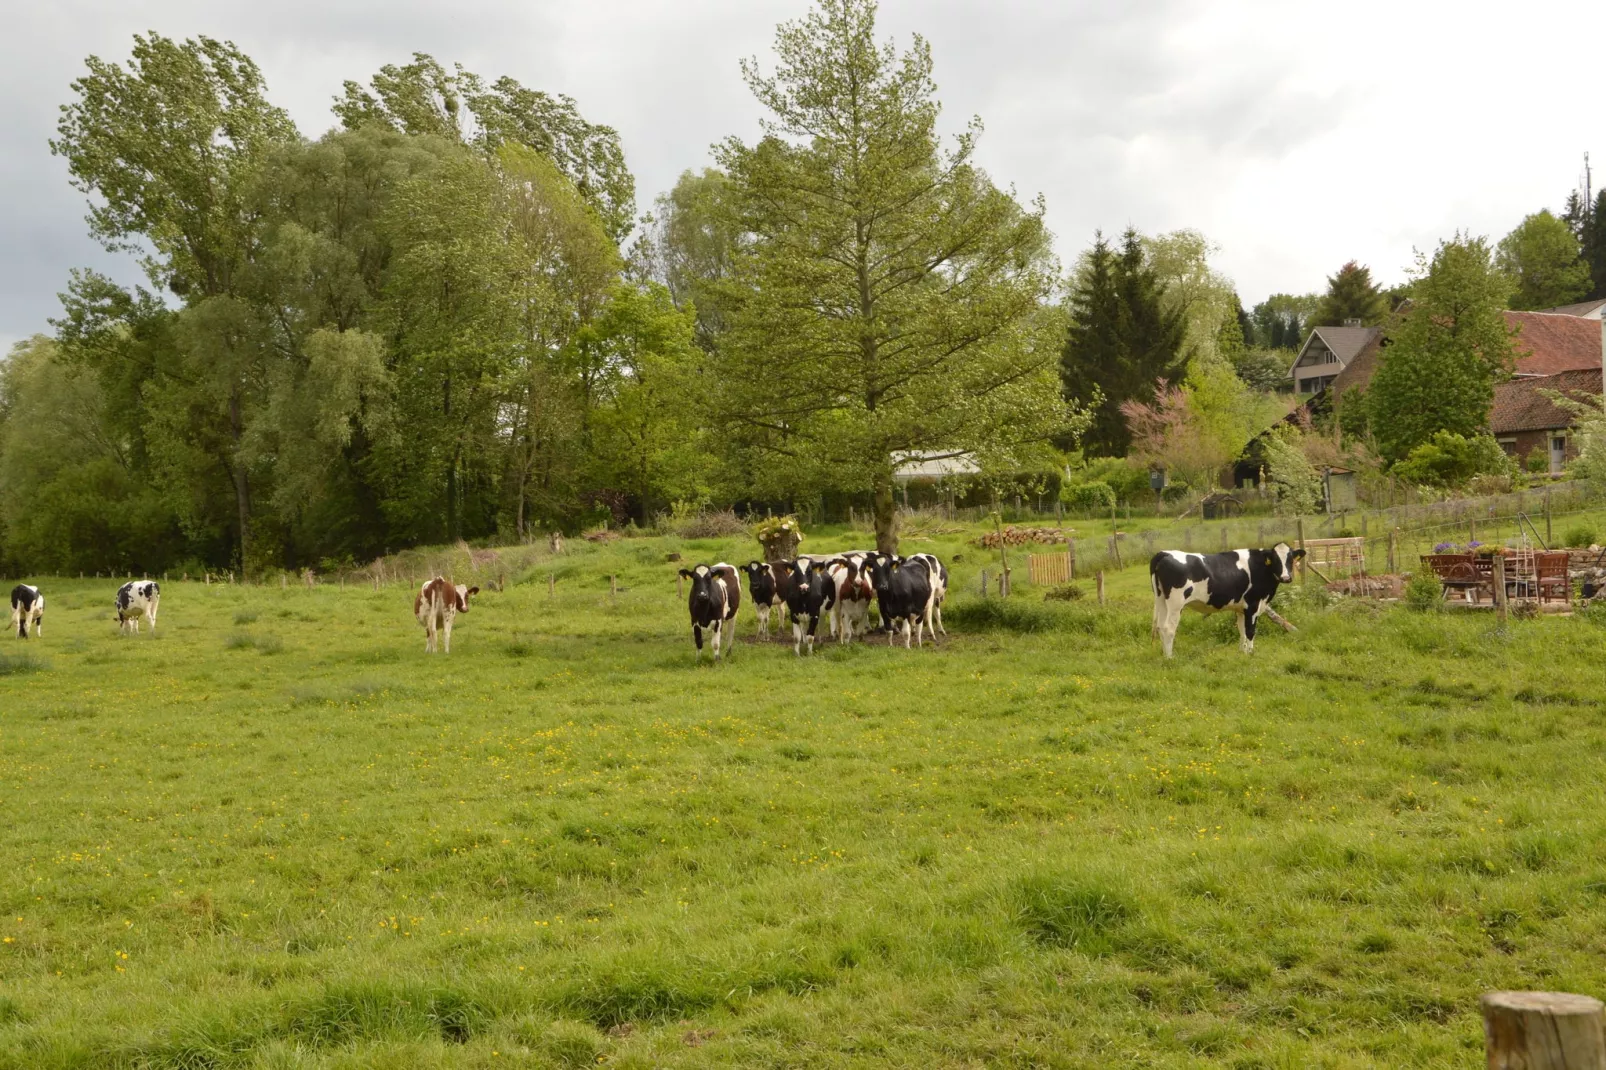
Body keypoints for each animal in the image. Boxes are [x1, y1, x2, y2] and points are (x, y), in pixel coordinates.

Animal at [1143, 546, 1304, 655]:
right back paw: (1170, 657)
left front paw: (1242, 652)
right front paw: (1251, 653)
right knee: (1168, 628)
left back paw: (1164, 654)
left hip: (1161, 600)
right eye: (1275, 560)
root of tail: (1164, 553)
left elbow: (1242, 630)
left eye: (1290, 559)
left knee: (1160, 627)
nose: (1286, 577)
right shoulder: (1253, 605)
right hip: (1176, 604)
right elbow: (1250, 631)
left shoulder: (1241, 608)